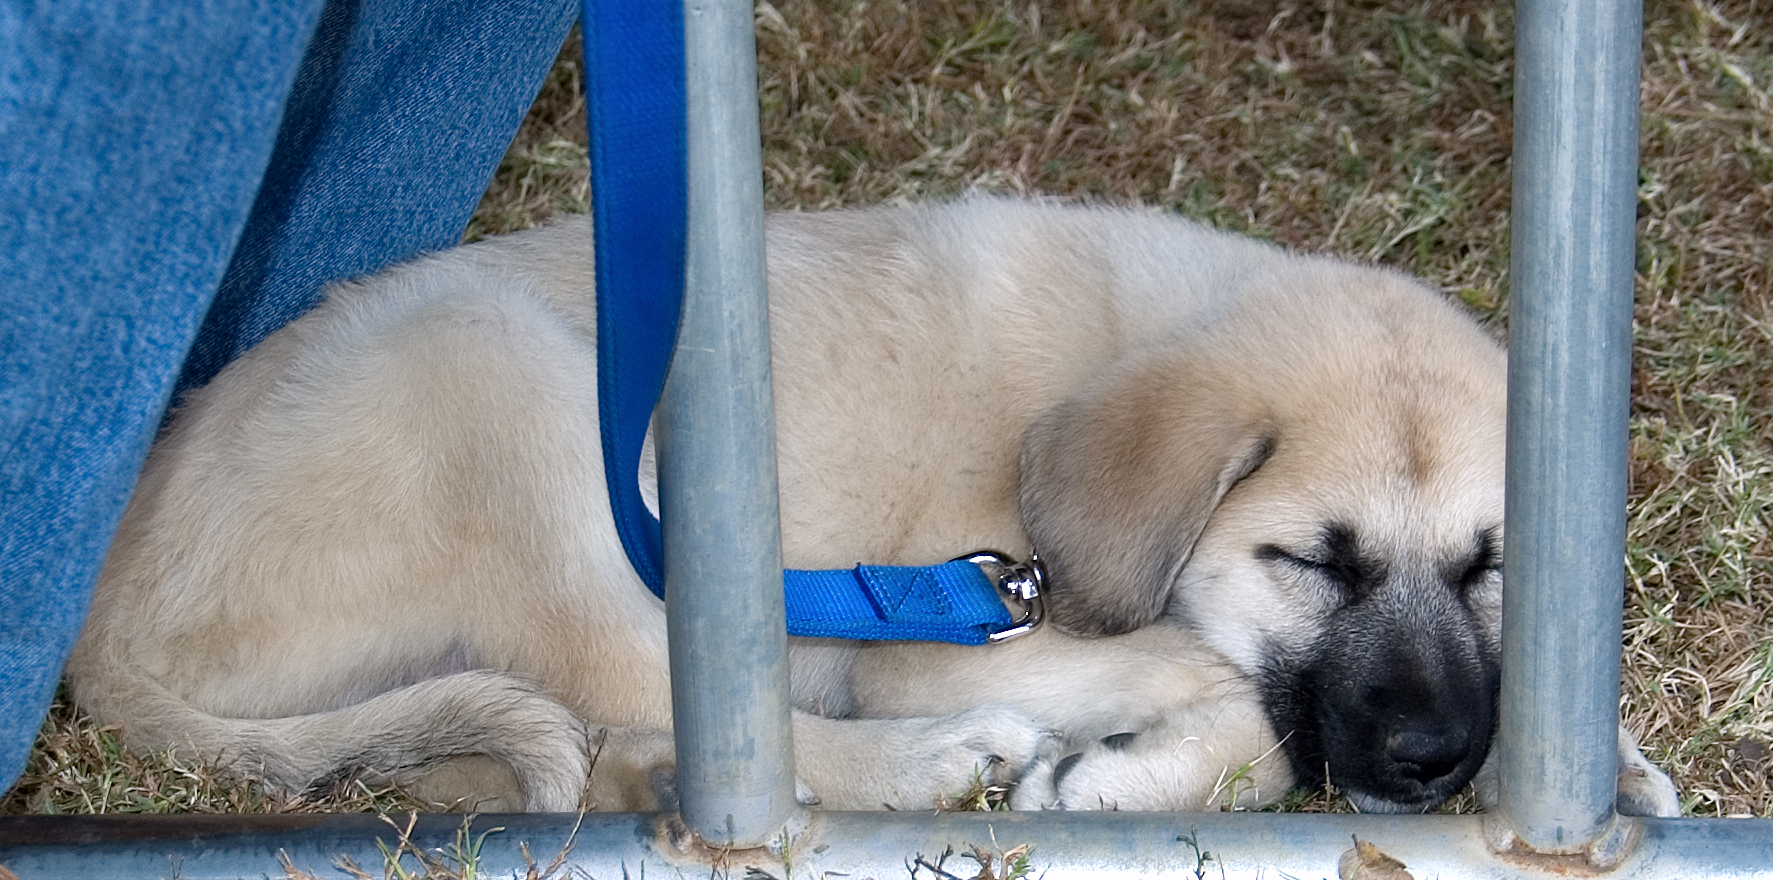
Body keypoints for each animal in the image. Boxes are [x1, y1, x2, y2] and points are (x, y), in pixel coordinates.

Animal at [65, 196, 1673, 816]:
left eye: (1489, 565)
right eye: (1312, 564)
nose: (1436, 762)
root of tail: (101, 627)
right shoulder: (953, 631)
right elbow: (1246, 705)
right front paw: (1123, 772)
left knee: (618, 744)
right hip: (510, 395)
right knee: (679, 708)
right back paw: (933, 769)